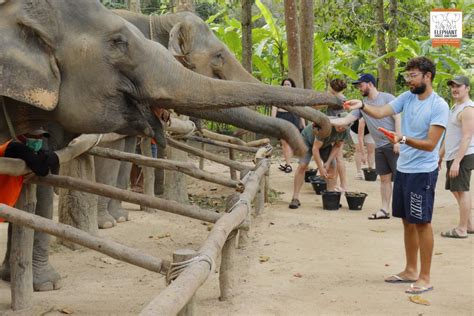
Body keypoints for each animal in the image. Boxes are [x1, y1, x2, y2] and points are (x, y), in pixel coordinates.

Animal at [0, 0, 340, 292]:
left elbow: (50, 160)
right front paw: (47, 282)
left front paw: (34, 280)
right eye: (218, 56)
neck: (162, 22)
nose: (327, 121)